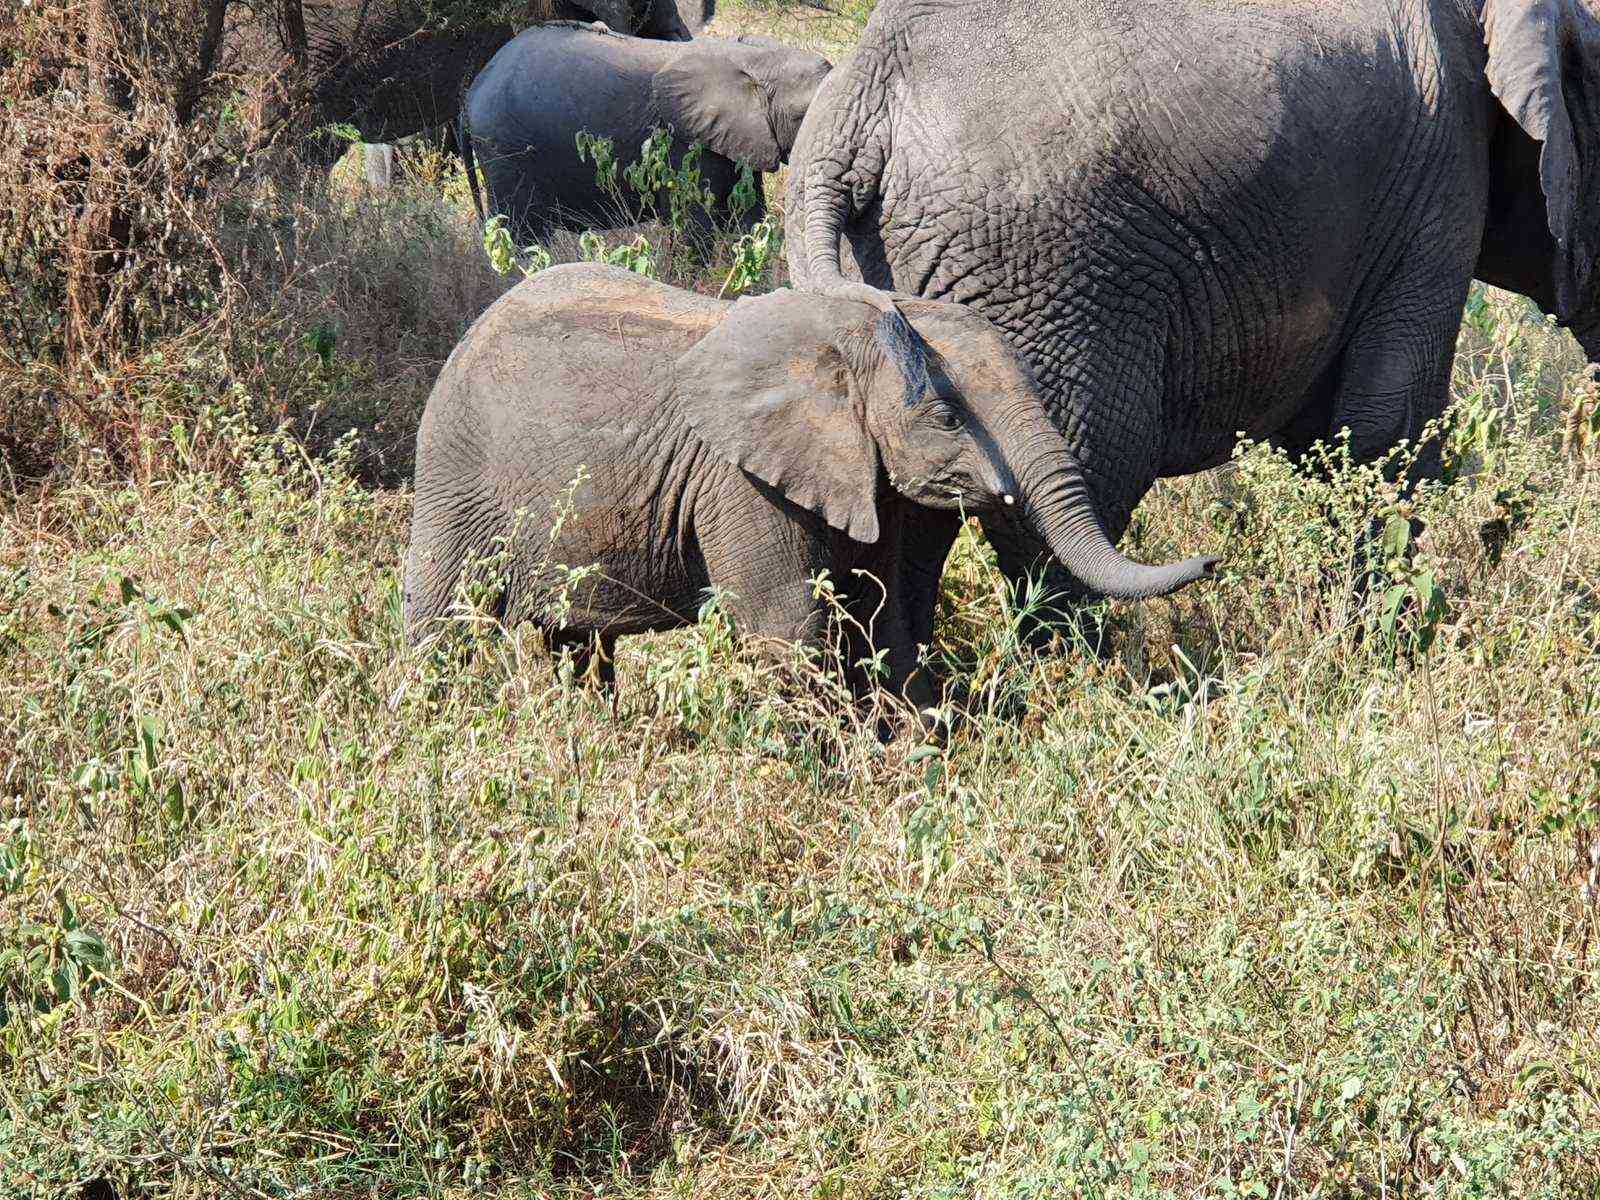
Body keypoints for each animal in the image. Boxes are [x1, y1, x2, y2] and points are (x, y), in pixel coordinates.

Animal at [402, 264, 1213, 707]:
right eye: (948, 416)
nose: (1213, 563)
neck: (848, 330)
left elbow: (880, 615)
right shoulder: (741, 481)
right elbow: (789, 624)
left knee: (575, 642)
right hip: (455, 472)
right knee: (441, 624)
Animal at [462, 25, 831, 243]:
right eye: (802, 116)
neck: (751, 57)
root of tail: (471, 92)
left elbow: (749, 215)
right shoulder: (684, 141)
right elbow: (695, 224)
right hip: (504, 148)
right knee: (523, 234)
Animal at [784, 0, 1600, 623]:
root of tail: (856, 104)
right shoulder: (1440, 176)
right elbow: (1384, 429)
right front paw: (1381, 650)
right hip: (1041, 274)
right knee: (1074, 495)